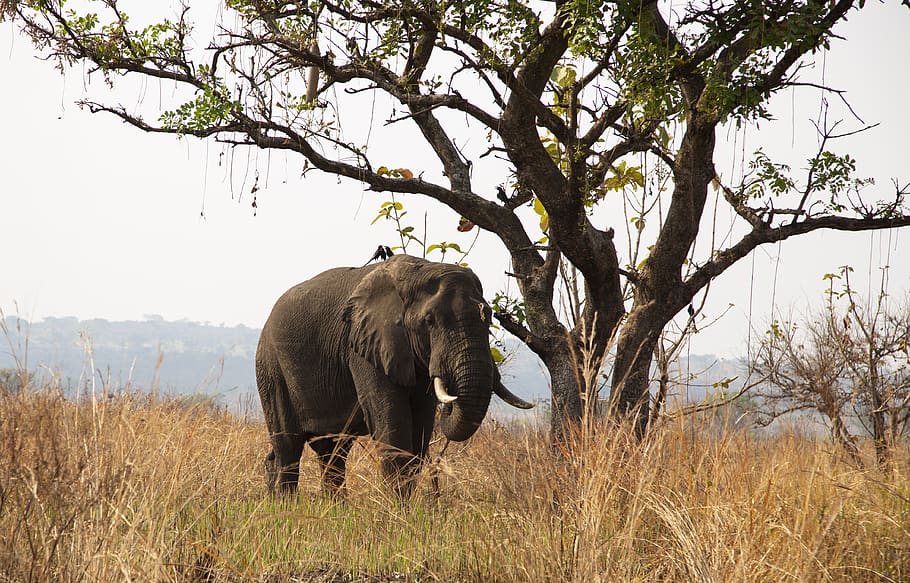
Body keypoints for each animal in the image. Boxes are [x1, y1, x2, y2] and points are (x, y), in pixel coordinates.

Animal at [256, 254, 532, 498]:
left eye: (489, 317)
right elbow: (392, 425)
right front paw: (400, 512)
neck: (419, 270)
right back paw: (286, 506)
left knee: (332, 450)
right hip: (271, 369)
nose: (451, 402)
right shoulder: (364, 346)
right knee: (289, 447)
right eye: (429, 321)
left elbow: (420, 430)